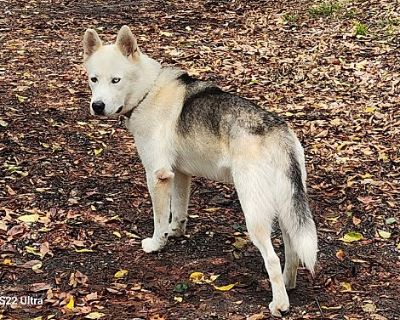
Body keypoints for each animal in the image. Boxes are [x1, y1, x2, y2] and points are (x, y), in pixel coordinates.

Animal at [82, 25, 318, 318]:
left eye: (116, 80)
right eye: (93, 79)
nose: (97, 106)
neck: (147, 91)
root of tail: (277, 132)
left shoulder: (157, 176)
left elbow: (159, 218)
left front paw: (156, 244)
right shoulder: (180, 175)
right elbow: (178, 212)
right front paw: (175, 233)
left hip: (254, 213)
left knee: (272, 259)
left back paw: (280, 304)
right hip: (287, 208)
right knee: (292, 250)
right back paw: (288, 284)